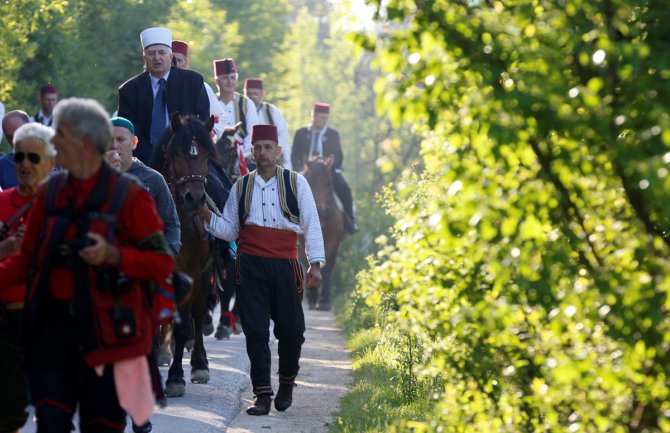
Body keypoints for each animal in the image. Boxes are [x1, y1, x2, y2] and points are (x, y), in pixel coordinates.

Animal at [304, 155, 346, 310]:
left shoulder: (333, 242)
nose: (319, 211)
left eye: (328, 182)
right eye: (309, 180)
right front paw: (312, 298)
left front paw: (323, 301)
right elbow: (307, 265)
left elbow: (327, 269)